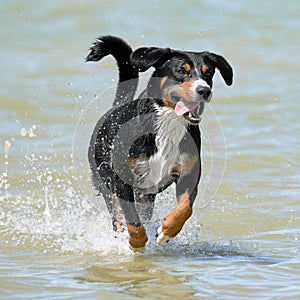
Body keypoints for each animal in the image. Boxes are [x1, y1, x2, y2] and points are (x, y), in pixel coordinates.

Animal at [85, 35, 233, 250]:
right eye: (181, 70)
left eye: (208, 73)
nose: (204, 90)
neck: (169, 122)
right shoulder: (123, 179)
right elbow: (132, 218)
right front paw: (137, 241)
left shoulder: (188, 175)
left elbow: (185, 208)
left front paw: (166, 231)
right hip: (104, 178)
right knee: (116, 212)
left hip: (146, 196)